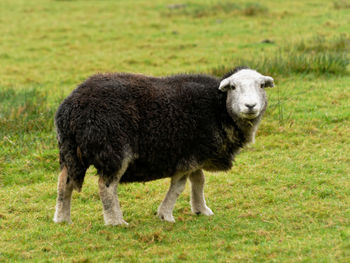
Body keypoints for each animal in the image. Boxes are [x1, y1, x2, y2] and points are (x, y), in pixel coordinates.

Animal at [53, 67, 274, 226]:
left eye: (261, 85)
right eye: (233, 87)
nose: (250, 106)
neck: (218, 108)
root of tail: (70, 108)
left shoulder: (195, 153)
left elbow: (198, 181)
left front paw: (201, 210)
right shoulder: (188, 158)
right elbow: (178, 186)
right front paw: (165, 214)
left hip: (70, 152)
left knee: (64, 182)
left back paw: (62, 219)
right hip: (113, 151)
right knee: (106, 187)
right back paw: (116, 222)